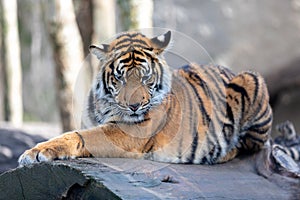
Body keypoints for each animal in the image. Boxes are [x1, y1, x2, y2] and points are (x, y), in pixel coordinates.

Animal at [18, 30, 278, 166]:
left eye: (145, 77)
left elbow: (81, 136)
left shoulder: (130, 132)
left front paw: (36, 152)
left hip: (251, 79)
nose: (135, 106)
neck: (106, 106)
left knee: (249, 146)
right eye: (120, 78)